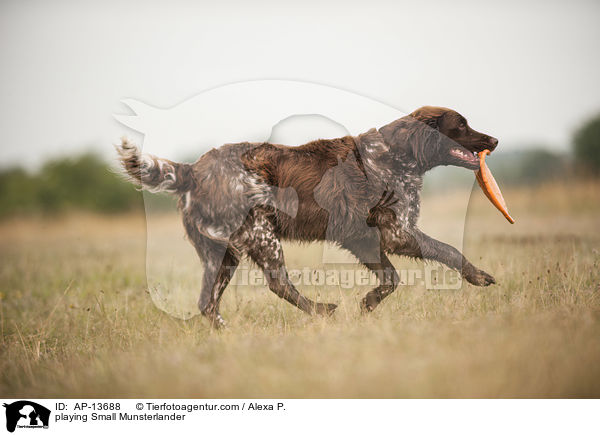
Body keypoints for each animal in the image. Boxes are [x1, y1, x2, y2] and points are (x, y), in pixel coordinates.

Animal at [116, 105, 496, 328]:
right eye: (461, 124)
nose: (493, 139)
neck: (394, 155)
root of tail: (192, 170)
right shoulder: (397, 232)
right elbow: (448, 250)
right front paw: (478, 275)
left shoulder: (362, 238)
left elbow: (390, 279)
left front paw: (367, 304)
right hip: (261, 236)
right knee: (277, 283)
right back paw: (320, 311)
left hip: (222, 253)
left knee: (207, 302)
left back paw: (225, 334)